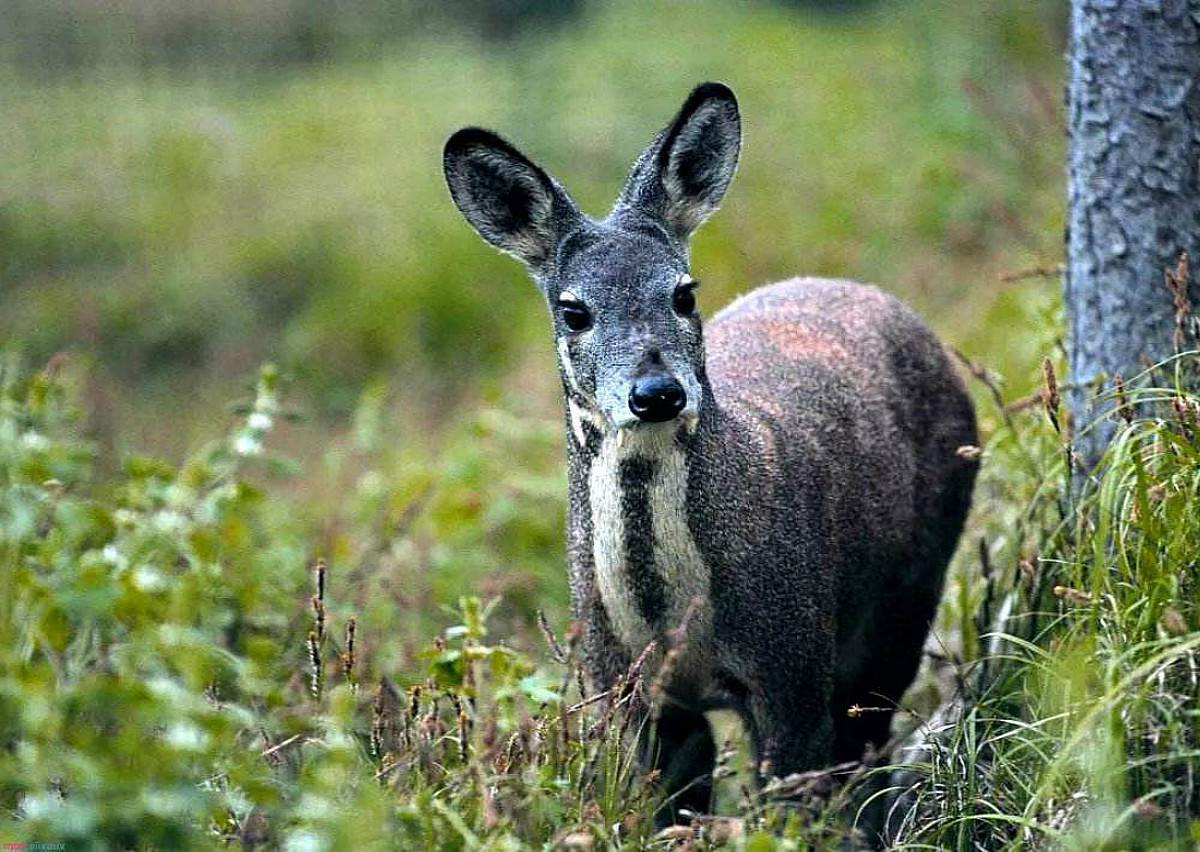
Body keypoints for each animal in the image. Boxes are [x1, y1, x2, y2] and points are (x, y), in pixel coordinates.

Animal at [441, 81, 974, 825]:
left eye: (683, 292)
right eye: (574, 311)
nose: (656, 392)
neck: (671, 620)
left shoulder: (791, 661)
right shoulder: (627, 688)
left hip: (909, 592)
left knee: (869, 740)